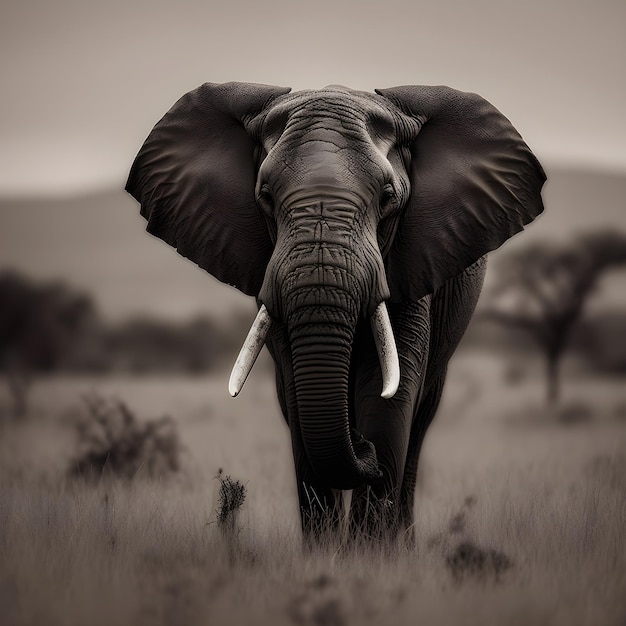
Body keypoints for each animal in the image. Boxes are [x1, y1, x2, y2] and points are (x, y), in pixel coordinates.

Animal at [124, 81, 544, 540]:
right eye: (265, 197)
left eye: (388, 197)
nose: (361, 445)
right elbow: (297, 398)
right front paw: (326, 552)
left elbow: (388, 397)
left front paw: (367, 552)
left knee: (420, 421)